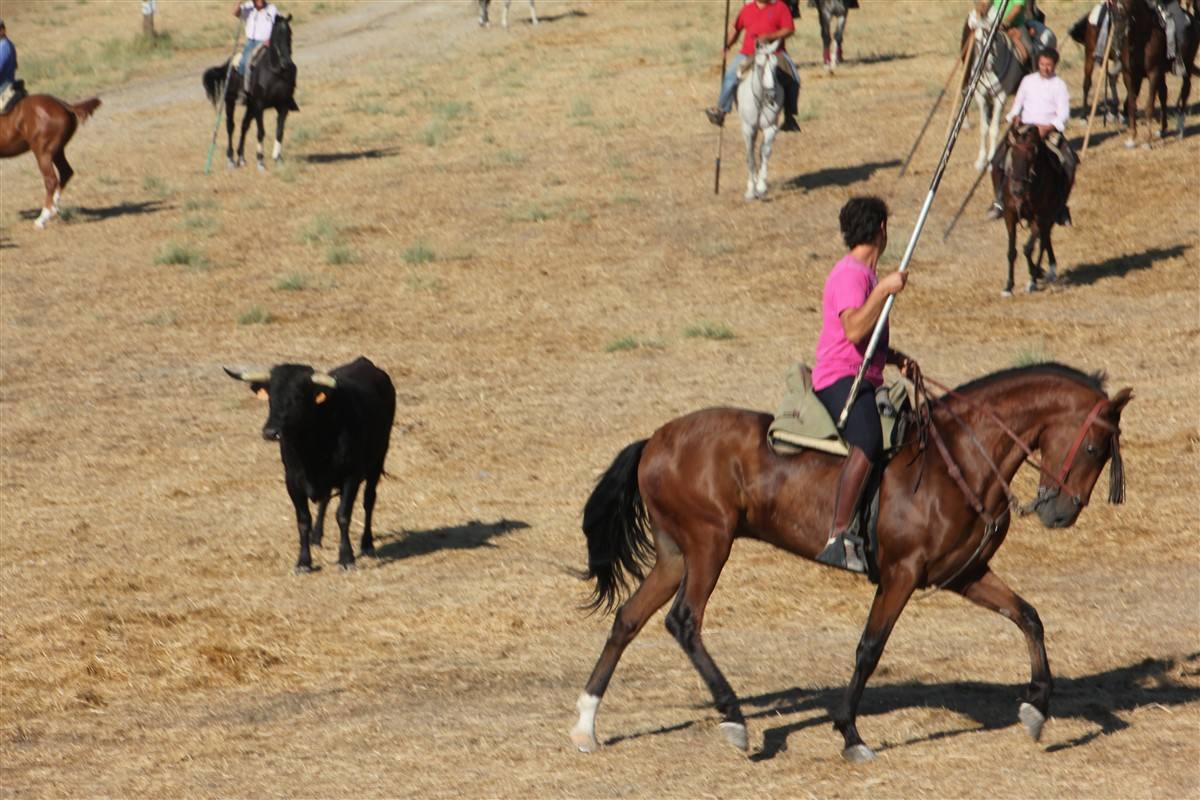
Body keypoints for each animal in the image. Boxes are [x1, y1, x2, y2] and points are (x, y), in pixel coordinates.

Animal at [0, 95, 100, 231]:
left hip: (43, 152)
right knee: (66, 172)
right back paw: (54, 208)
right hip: (57, 151)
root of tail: (65, 105)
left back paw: (42, 218)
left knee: (51, 180)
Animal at [204, 14, 297, 170]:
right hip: (231, 102)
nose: (287, 63)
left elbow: (279, 132)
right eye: (277, 35)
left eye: (290, 34)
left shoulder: (282, 106)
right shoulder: (259, 106)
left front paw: (277, 158)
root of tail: (228, 64)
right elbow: (261, 131)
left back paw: (241, 157)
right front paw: (260, 160)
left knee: (244, 126)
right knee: (231, 126)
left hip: (250, 106)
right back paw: (231, 158)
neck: (275, 72)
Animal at [566, 362, 1128, 762]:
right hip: (709, 544)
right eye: (1095, 446)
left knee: (628, 619)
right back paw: (735, 719)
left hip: (675, 554)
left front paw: (1037, 708)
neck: (959, 461)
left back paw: (586, 724)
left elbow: (1029, 617)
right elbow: (869, 648)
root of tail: (655, 441)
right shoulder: (901, 574)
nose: (1060, 513)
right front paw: (851, 734)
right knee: (684, 620)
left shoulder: (965, 575)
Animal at [734, 40, 782, 203]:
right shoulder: (748, 128)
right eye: (760, 66)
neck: (760, 100)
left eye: (775, 66)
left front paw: (761, 187)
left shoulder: (770, 128)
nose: (771, 96)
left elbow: (765, 152)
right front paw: (751, 190)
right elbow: (750, 156)